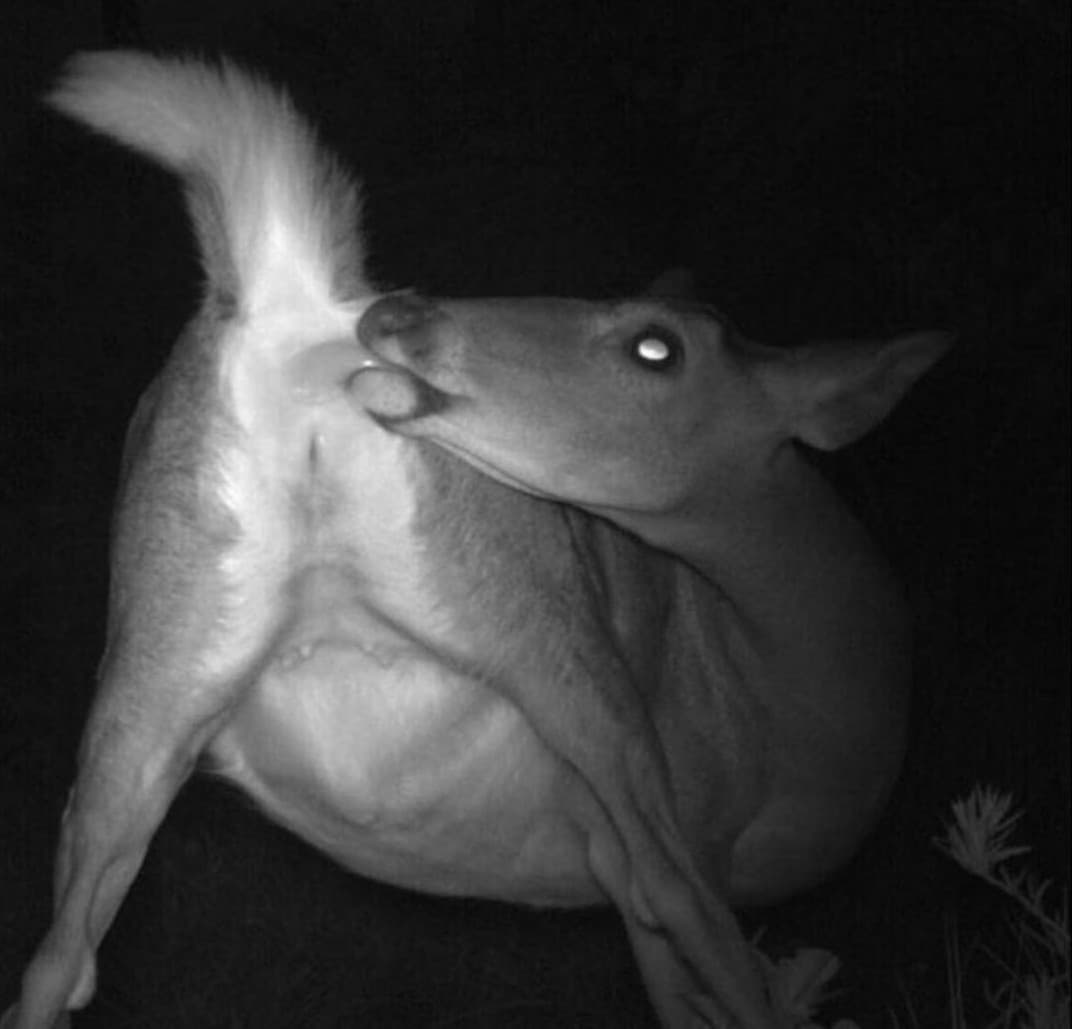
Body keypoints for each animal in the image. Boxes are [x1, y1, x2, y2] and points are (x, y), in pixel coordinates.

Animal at [6, 54, 947, 1029]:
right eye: (660, 346)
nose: (404, 319)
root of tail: (290, 292)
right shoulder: (689, 820)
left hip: (152, 672)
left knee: (53, 962)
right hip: (570, 664)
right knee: (681, 899)